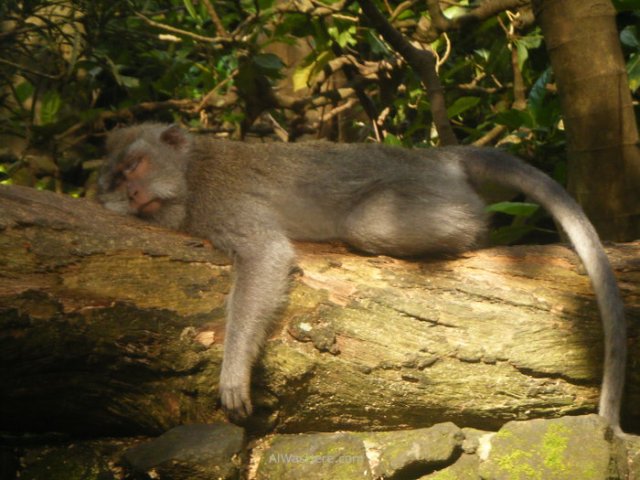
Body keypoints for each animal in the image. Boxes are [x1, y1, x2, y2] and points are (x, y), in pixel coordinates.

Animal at [97, 122, 626, 433]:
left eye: (135, 165)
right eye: (118, 182)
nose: (135, 193)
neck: (191, 171)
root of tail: (436, 157)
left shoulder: (218, 200)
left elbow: (265, 255)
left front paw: (233, 372)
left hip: (423, 193)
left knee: (367, 224)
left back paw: (470, 232)